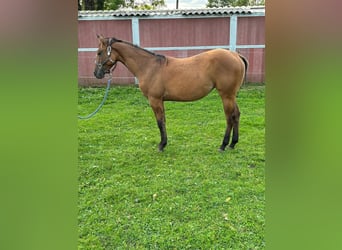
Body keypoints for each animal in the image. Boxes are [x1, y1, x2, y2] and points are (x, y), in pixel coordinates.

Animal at [93, 34, 248, 152]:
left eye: (99, 52)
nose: (96, 73)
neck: (149, 66)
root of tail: (235, 55)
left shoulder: (154, 100)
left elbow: (159, 122)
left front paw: (161, 145)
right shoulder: (160, 101)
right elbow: (164, 121)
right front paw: (164, 143)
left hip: (226, 95)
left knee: (229, 118)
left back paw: (223, 145)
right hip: (231, 96)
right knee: (236, 115)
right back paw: (233, 143)